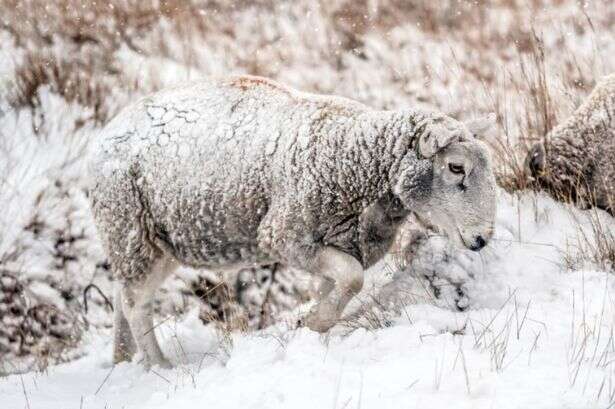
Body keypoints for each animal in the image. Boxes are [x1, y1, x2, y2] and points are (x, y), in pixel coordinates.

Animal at [89, 75, 498, 368]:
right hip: (130, 228)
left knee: (121, 296)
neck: (355, 158)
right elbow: (353, 278)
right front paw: (315, 323)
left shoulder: (343, 243)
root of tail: (105, 132)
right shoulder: (284, 237)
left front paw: (315, 327)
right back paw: (160, 366)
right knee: (135, 303)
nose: (482, 239)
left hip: (155, 242)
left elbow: (338, 285)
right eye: (456, 167)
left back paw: (123, 360)